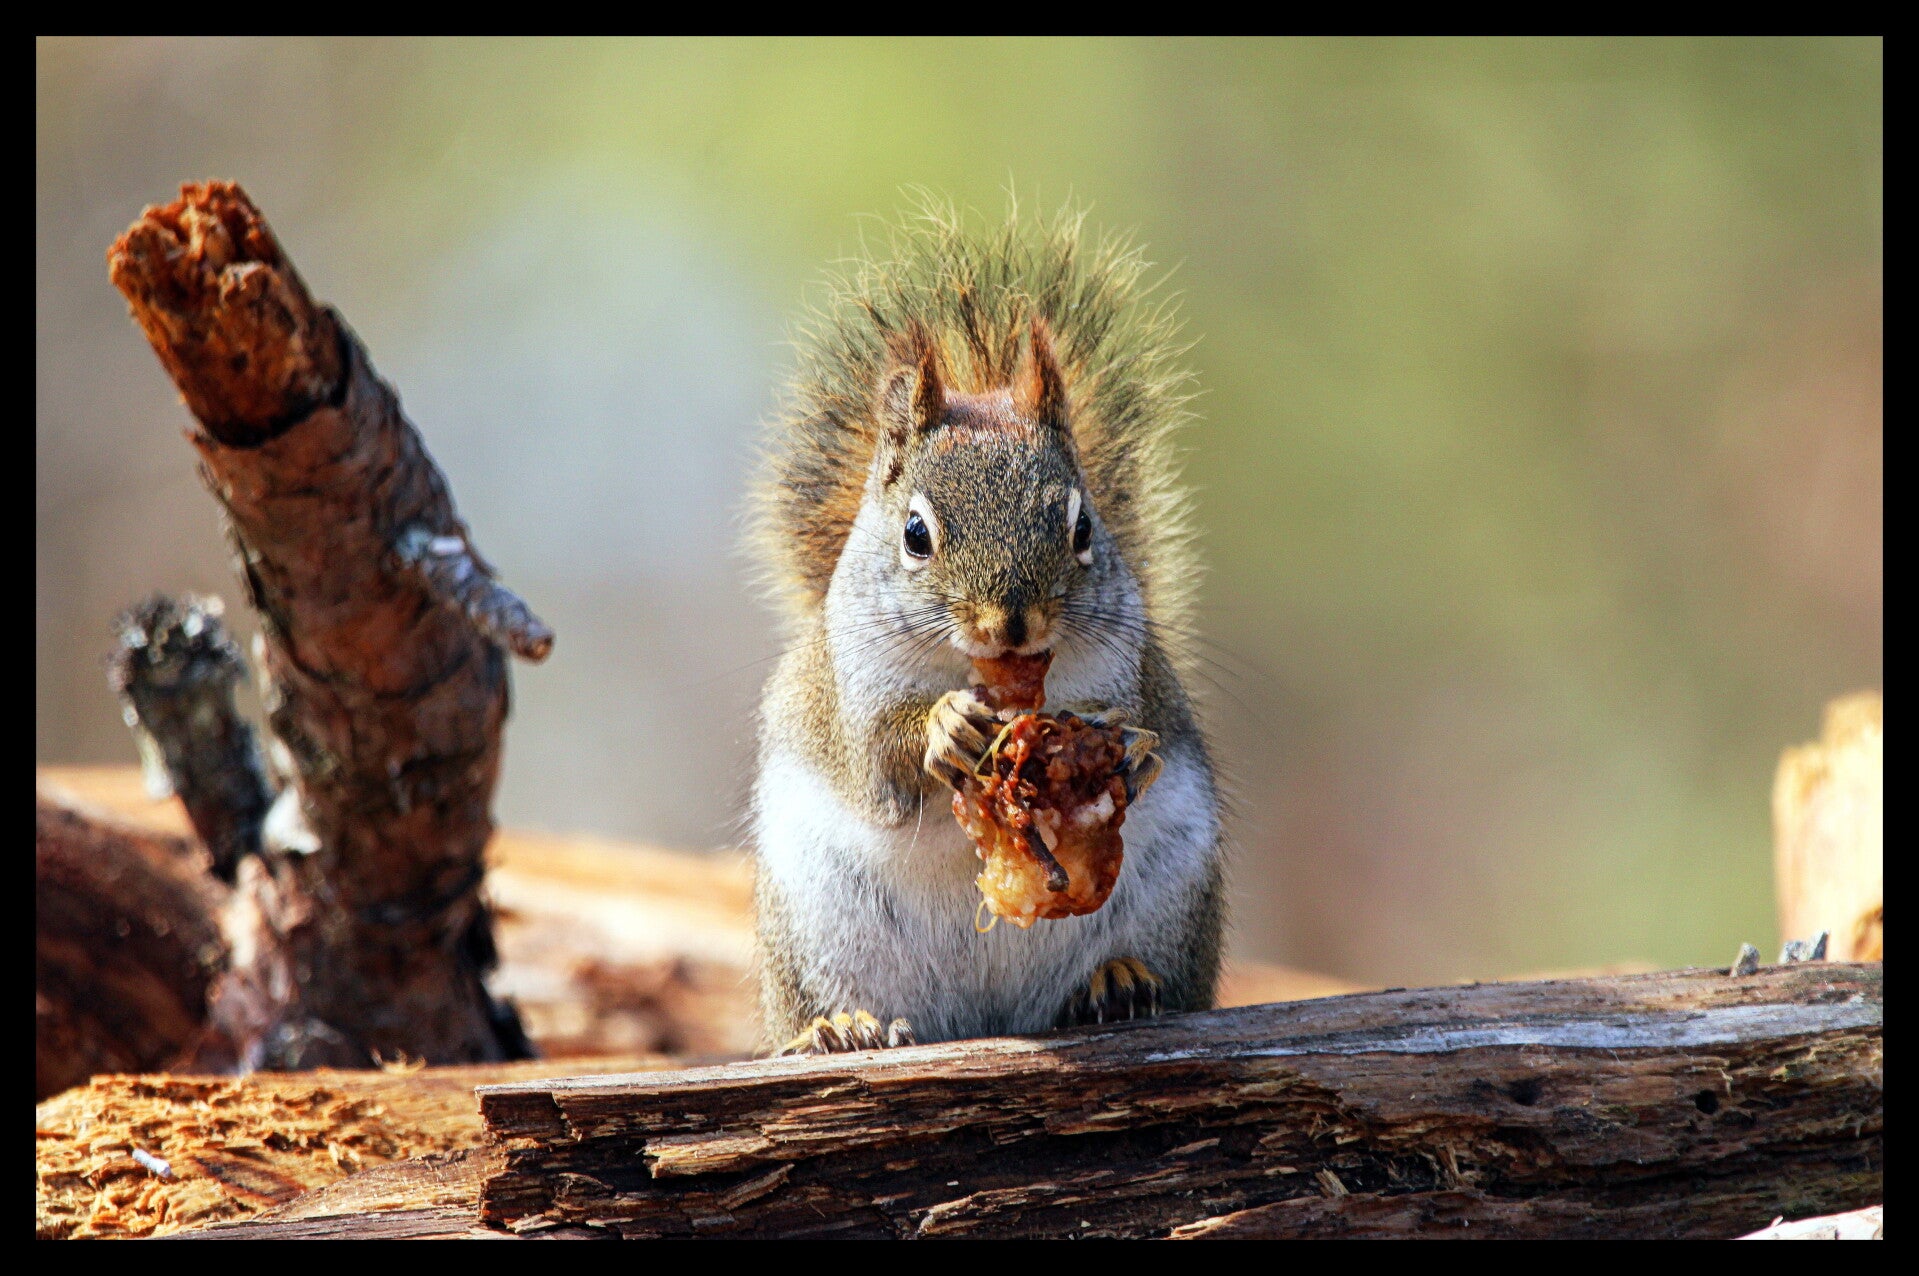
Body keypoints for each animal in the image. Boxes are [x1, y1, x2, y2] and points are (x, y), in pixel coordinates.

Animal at [748, 202, 1224, 1054]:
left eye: (1081, 528)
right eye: (914, 535)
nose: (1012, 622)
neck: (983, 672)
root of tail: (990, 1017)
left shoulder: (1128, 664)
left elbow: (1141, 728)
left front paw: (1133, 749)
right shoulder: (853, 688)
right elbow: (880, 764)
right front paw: (943, 728)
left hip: (1175, 894)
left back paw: (1119, 983)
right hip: (812, 926)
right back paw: (839, 1028)